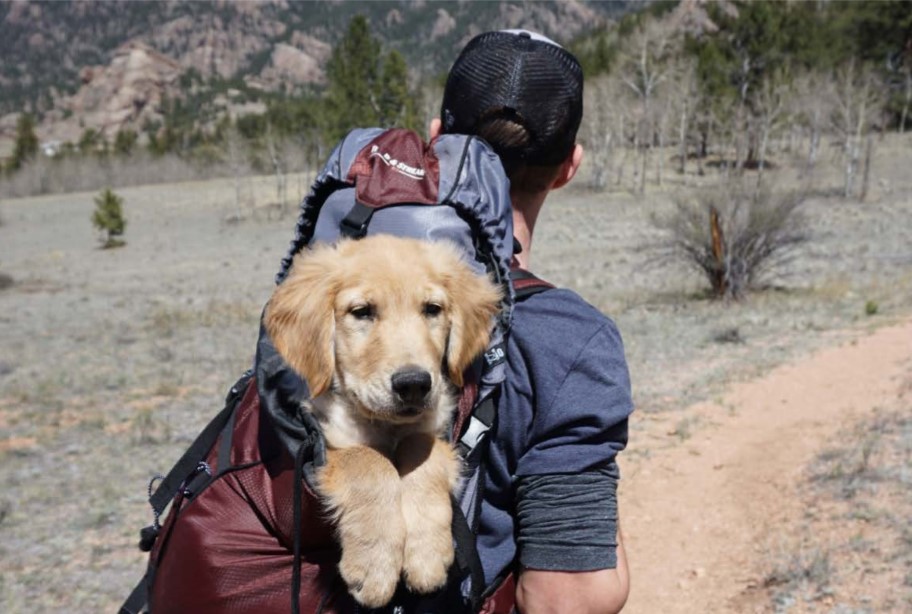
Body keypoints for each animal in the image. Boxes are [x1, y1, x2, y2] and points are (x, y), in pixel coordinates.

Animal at [264, 235, 502, 608]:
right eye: (362, 312)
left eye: (432, 309)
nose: (414, 384)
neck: (387, 425)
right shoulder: (327, 437)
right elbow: (370, 461)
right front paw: (375, 565)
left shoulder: (433, 427)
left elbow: (422, 450)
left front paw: (426, 554)